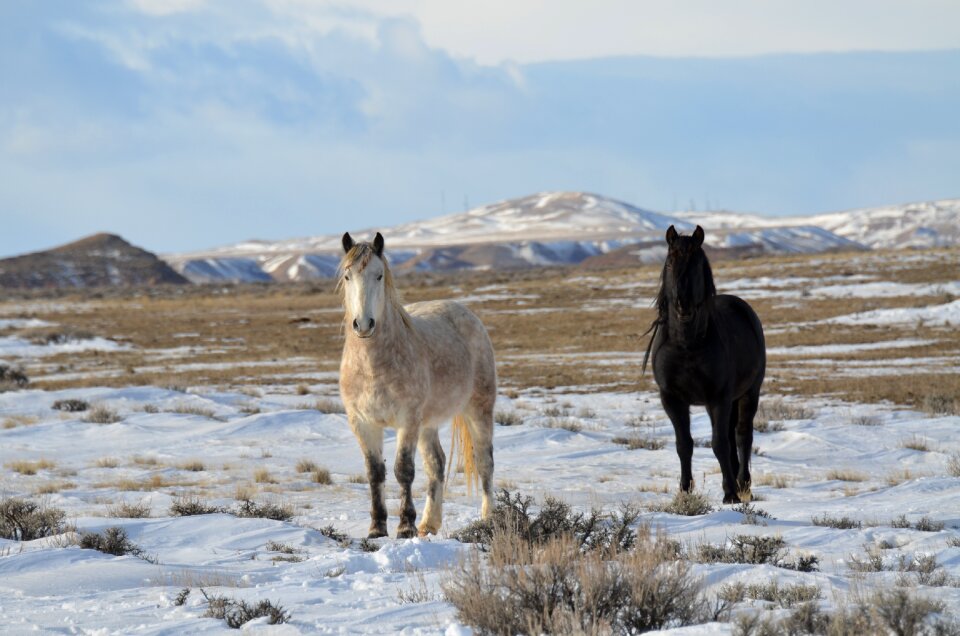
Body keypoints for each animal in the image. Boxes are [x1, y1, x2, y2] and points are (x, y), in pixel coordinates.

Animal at [336, 231, 496, 540]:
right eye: (348, 276)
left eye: (379, 275)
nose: (363, 324)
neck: (373, 366)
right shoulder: (361, 422)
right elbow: (374, 472)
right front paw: (377, 528)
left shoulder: (407, 421)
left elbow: (403, 470)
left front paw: (405, 526)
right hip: (428, 424)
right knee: (436, 464)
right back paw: (429, 524)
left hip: (479, 410)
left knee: (485, 462)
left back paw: (488, 519)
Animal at [640, 224, 768, 502]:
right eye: (669, 263)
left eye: (696, 264)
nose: (682, 306)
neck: (687, 344)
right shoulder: (672, 399)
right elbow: (684, 444)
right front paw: (685, 491)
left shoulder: (718, 397)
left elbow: (719, 443)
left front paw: (730, 494)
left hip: (749, 393)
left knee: (742, 436)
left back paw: (743, 484)